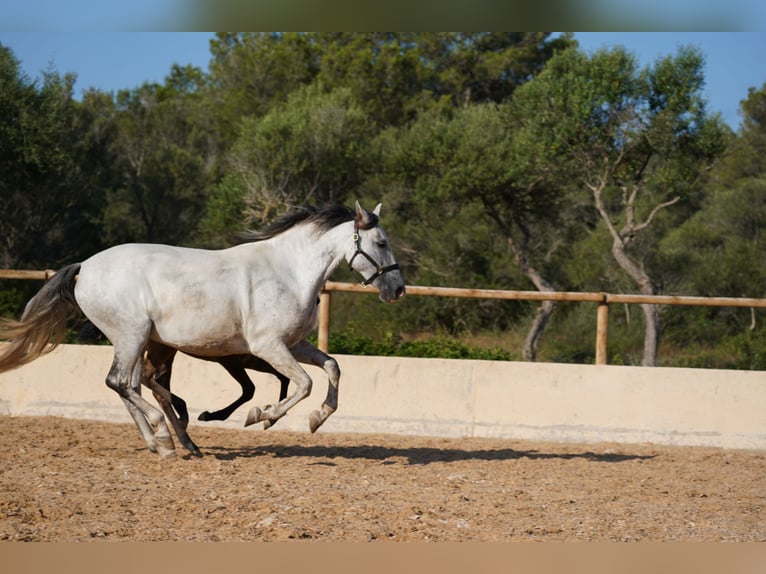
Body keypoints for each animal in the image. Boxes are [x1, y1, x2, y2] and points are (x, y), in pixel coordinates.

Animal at [0, 202, 408, 460]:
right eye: (381, 242)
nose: (398, 289)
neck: (289, 272)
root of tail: (85, 266)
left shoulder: (295, 344)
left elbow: (332, 367)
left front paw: (315, 419)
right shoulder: (268, 347)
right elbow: (303, 384)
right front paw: (261, 416)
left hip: (143, 342)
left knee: (131, 386)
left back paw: (163, 445)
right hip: (131, 335)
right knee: (121, 383)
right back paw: (166, 436)